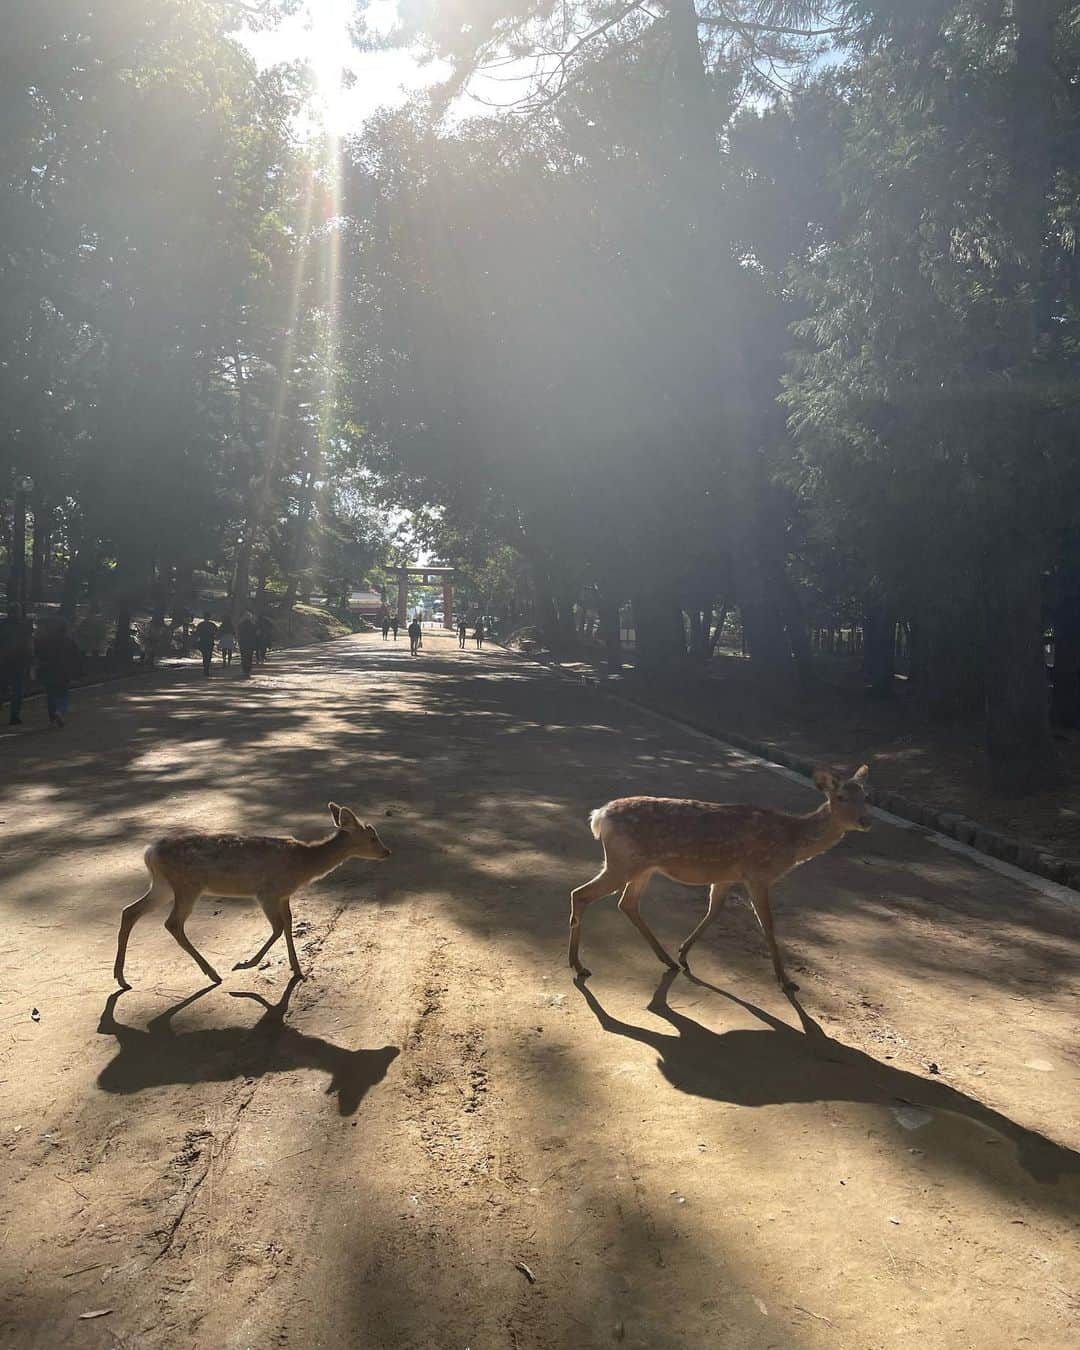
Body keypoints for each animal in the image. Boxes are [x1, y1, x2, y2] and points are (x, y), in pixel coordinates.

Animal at [112, 799, 391, 993]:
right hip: (186, 886)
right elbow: (277, 928)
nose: (387, 852)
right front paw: (244, 964)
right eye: (372, 837)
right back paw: (213, 973)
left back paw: (122, 978)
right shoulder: (267, 892)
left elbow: (288, 924)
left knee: (130, 911)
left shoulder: (283, 895)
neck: (303, 865)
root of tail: (150, 852)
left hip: (163, 886)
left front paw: (297, 970)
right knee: (172, 923)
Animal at [569, 772, 874, 993]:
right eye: (841, 796)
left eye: (867, 795)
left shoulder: (726, 877)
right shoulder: (757, 874)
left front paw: (684, 953)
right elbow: (768, 924)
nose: (865, 821)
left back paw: (667, 959)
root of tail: (599, 816)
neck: (791, 841)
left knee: (627, 903)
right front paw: (786, 982)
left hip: (642, 867)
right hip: (622, 862)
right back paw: (578, 966)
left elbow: (714, 911)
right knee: (581, 894)